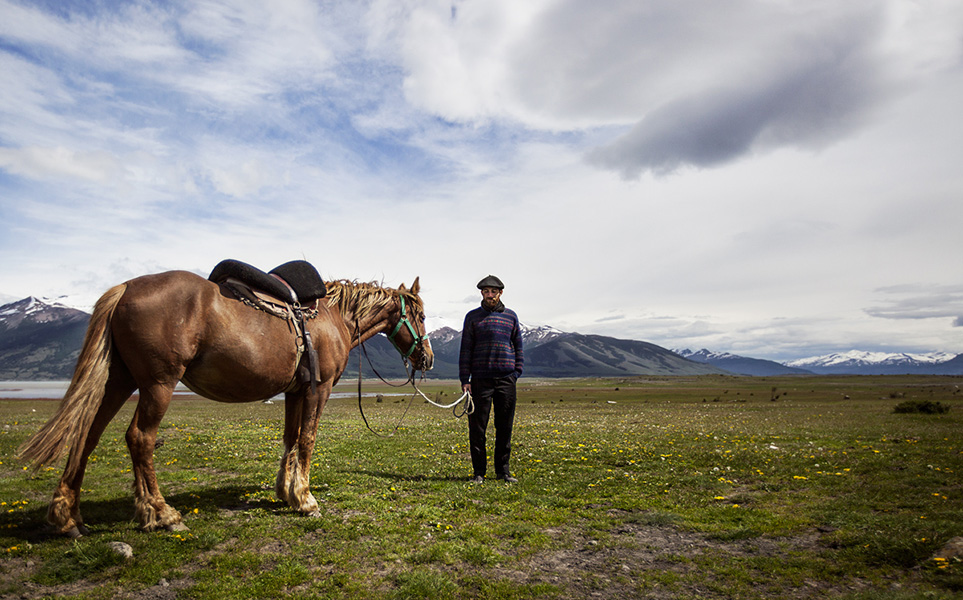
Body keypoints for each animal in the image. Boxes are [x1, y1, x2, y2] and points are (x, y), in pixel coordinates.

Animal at [17, 270, 434, 536]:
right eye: (422, 315)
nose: (428, 358)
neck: (333, 317)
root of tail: (125, 287)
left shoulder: (294, 390)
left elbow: (290, 438)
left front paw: (285, 493)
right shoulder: (319, 388)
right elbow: (307, 439)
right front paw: (305, 498)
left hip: (118, 380)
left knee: (87, 435)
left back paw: (68, 517)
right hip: (158, 384)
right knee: (139, 438)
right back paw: (160, 513)